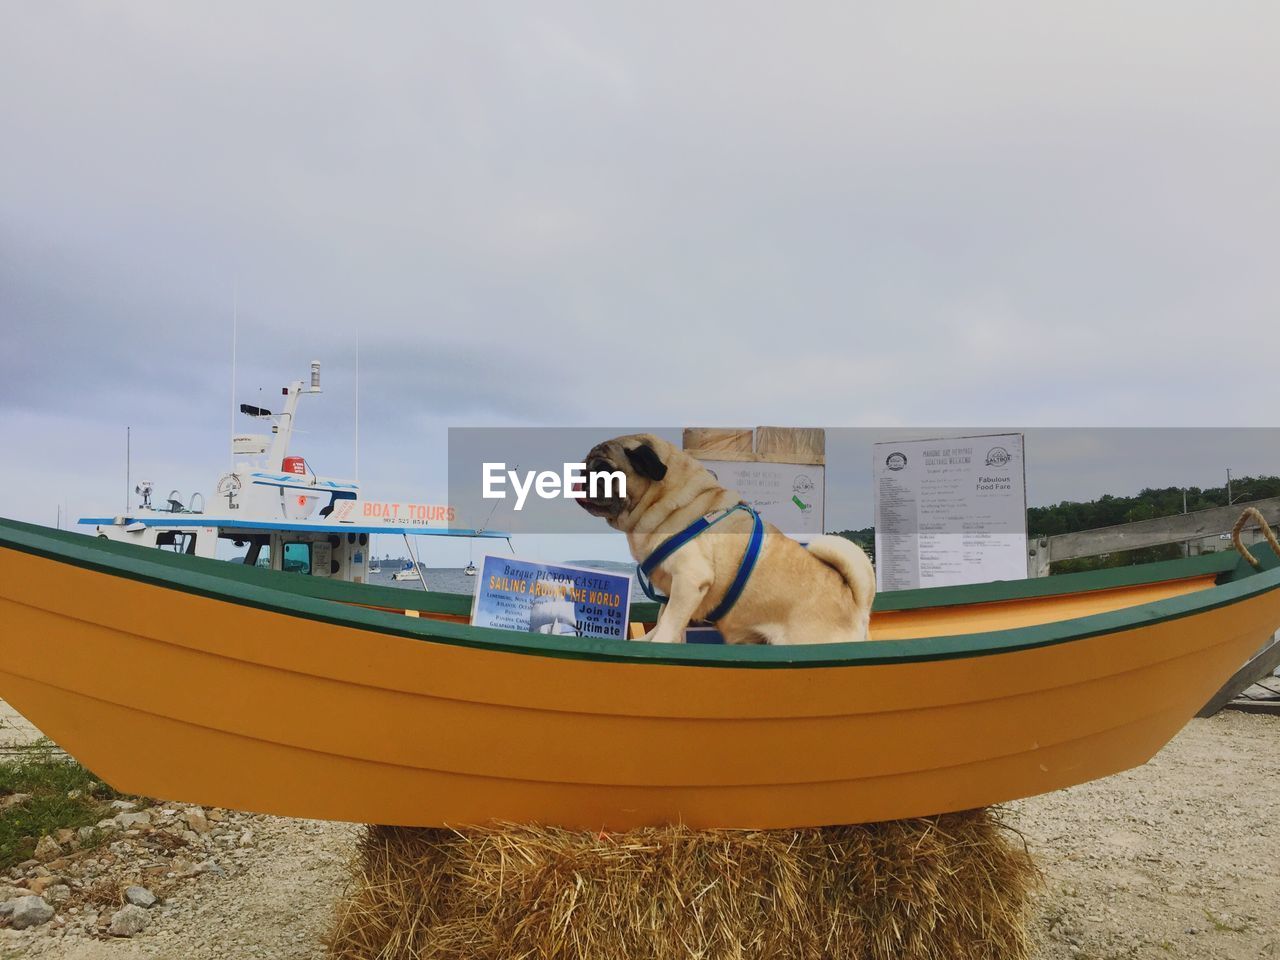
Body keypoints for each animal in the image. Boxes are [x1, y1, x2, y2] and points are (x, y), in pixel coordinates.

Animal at [578, 435, 870, 647]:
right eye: (585, 465)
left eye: (604, 470)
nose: (579, 475)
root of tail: (856, 604)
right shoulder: (673, 590)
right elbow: (664, 618)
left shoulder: (689, 581)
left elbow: (669, 623)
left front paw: (658, 643)